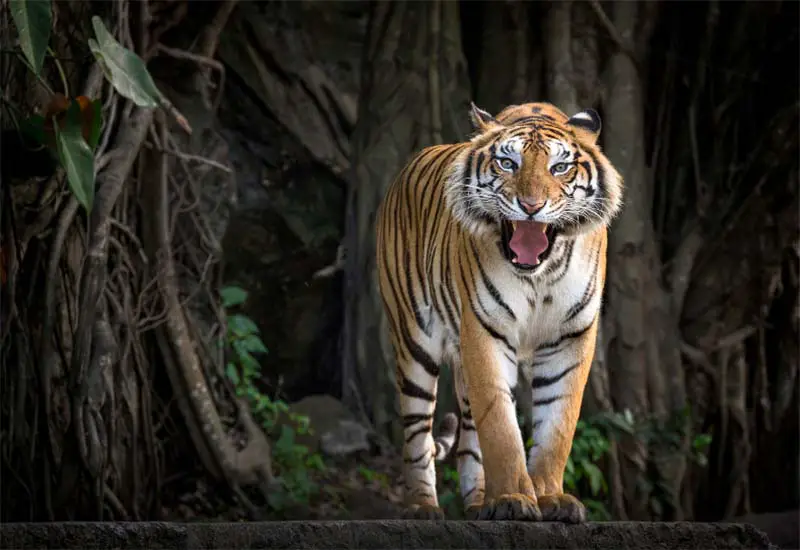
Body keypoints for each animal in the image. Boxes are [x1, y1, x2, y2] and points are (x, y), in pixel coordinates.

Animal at [376, 101, 624, 524]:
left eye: (560, 167)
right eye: (508, 163)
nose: (531, 207)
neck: (541, 274)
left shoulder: (570, 338)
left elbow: (556, 425)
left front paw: (550, 498)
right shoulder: (485, 330)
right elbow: (501, 427)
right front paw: (512, 498)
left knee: (468, 439)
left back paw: (478, 503)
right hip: (414, 342)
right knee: (417, 432)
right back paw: (423, 505)